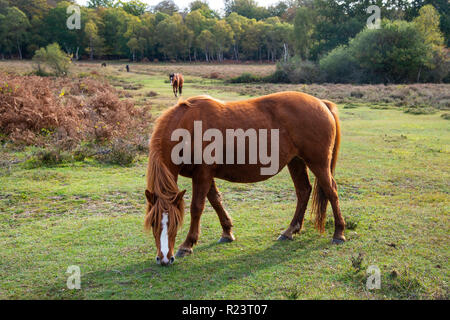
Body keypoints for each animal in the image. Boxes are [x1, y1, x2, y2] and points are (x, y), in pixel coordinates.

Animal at [144, 90, 344, 264]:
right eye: (153, 223)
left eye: (175, 223)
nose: (164, 259)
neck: (187, 127)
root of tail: (322, 104)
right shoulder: (205, 174)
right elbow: (216, 200)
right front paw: (227, 232)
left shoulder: (202, 174)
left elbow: (197, 207)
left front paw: (187, 245)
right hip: (296, 162)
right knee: (303, 191)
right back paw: (290, 230)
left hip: (318, 163)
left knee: (331, 191)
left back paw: (339, 233)